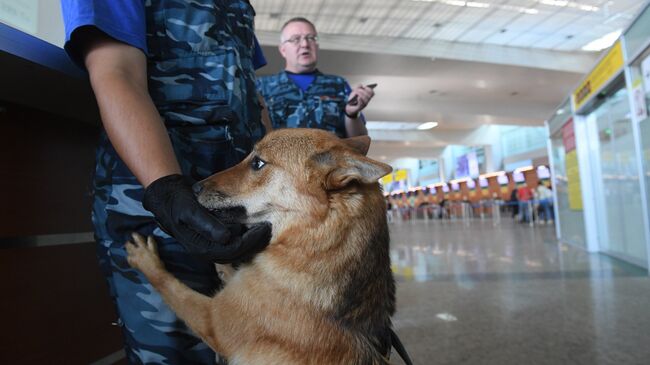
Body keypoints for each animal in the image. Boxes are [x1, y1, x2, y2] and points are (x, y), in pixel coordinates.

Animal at [126, 126, 394, 362]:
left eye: (257, 163)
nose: (193, 187)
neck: (310, 242)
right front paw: (220, 261)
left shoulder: (212, 320)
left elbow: (171, 286)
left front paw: (145, 259)